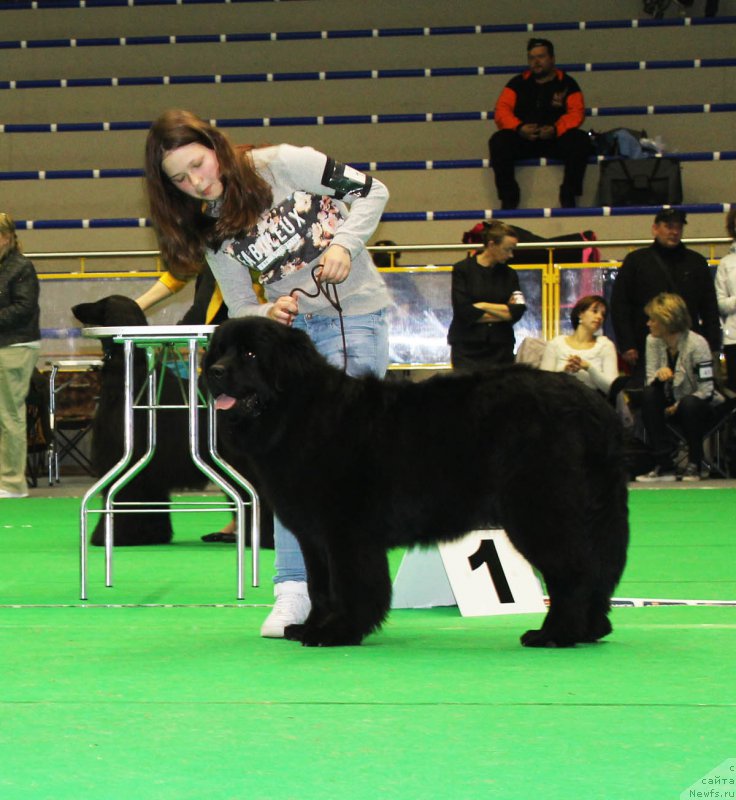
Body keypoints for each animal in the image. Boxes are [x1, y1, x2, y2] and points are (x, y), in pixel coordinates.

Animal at [204, 316, 628, 648]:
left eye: (251, 355)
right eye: (219, 351)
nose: (214, 372)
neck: (298, 411)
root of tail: (593, 405)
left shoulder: (346, 531)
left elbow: (349, 584)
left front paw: (338, 631)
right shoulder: (313, 535)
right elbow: (320, 586)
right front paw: (309, 627)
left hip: (540, 510)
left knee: (573, 571)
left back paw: (555, 633)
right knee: (598, 569)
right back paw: (591, 629)